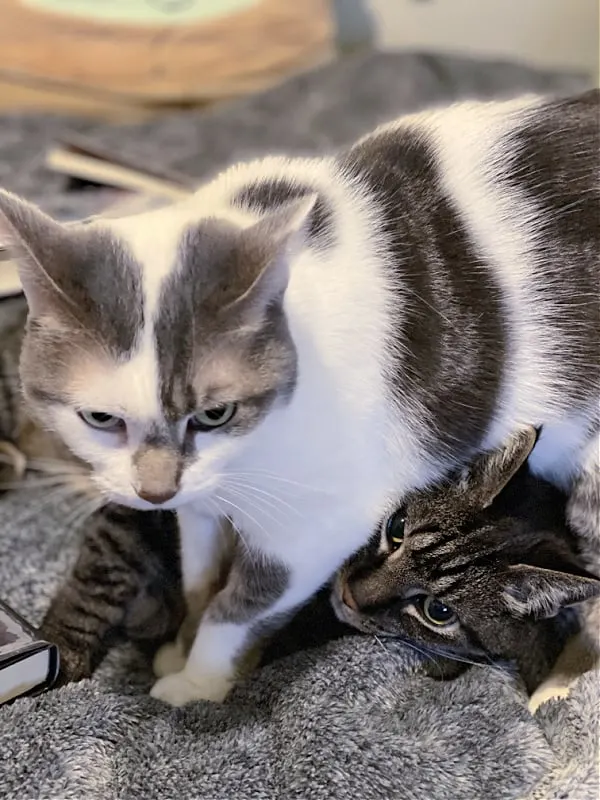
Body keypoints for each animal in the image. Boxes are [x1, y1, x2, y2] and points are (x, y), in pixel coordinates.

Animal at [0, 89, 596, 708]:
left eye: (215, 413)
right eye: (100, 418)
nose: (155, 490)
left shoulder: (317, 525)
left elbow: (236, 607)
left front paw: (197, 683)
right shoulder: (199, 507)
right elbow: (200, 579)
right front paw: (179, 646)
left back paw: (553, 692)